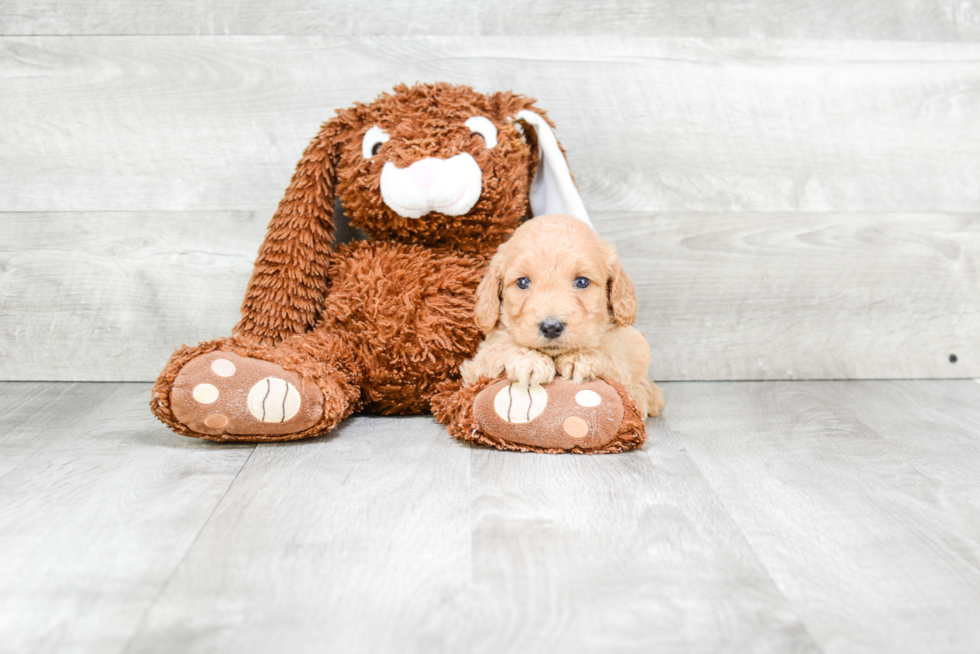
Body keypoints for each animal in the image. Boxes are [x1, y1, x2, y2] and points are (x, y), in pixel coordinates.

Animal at [462, 218, 668, 418]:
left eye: (582, 281)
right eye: (522, 282)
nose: (551, 327)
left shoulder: (626, 358)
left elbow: (612, 359)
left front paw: (580, 358)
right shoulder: (476, 368)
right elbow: (498, 350)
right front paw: (530, 360)